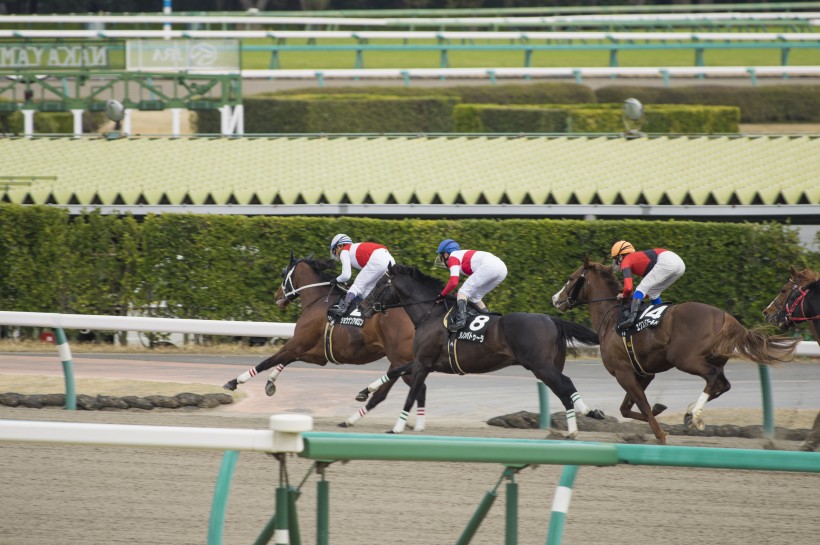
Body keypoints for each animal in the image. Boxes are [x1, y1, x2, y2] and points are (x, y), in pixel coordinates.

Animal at [224, 255, 430, 430]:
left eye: (284, 273)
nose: (276, 297)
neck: (318, 300)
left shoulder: (298, 343)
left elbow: (268, 361)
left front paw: (234, 381)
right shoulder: (316, 353)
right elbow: (285, 360)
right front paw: (270, 383)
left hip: (400, 359)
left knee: (416, 389)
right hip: (398, 361)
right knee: (390, 392)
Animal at [358, 262, 604, 436]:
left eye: (379, 284)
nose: (363, 306)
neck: (430, 314)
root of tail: (552, 319)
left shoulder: (423, 363)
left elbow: (410, 394)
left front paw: (396, 427)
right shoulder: (424, 361)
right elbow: (394, 371)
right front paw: (365, 391)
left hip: (541, 366)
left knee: (565, 386)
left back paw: (577, 425)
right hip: (549, 366)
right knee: (565, 388)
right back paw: (585, 416)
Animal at [552, 258, 800, 442]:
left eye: (571, 278)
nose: (556, 298)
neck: (613, 318)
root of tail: (725, 316)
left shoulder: (623, 372)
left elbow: (642, 404)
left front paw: (661, 434)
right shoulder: (643, 373)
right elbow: (627, 408)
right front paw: (660, 409)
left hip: (684, 358)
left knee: (712, 377)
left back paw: (696, 414)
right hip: (714, 359)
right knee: (723, 384)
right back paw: (690, 413)